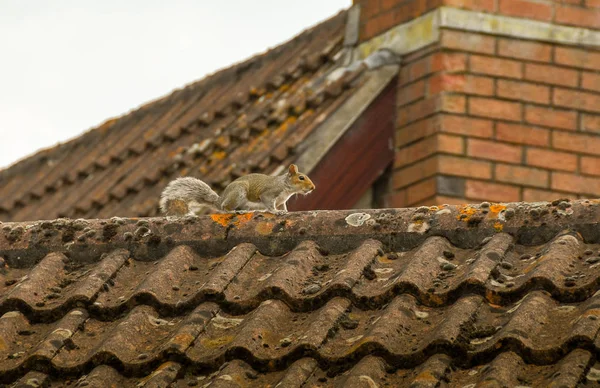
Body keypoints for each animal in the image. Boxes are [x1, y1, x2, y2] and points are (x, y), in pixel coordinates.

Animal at [159, 164, 318, 217]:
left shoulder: (281, 200)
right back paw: (234, 211)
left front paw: (285, 211)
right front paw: (276, 212)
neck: (286, 188)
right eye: (301, 178)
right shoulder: (269, 194)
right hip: (238, 193)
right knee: (225, 208)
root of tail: (220, 199)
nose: (313, 188)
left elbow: (283, 206)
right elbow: (269, 205)